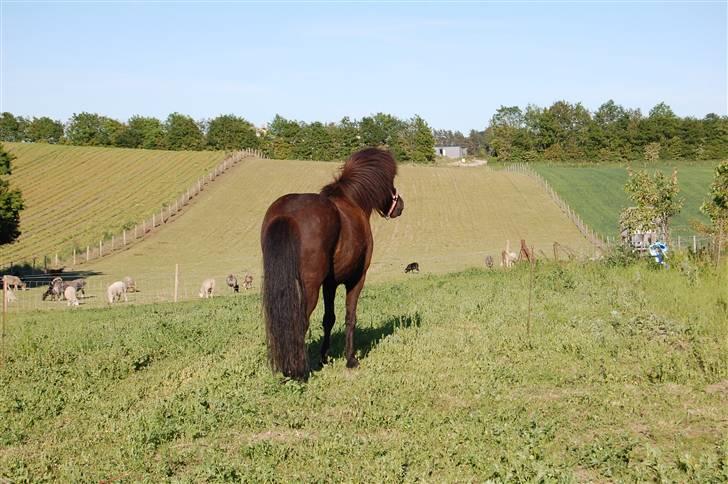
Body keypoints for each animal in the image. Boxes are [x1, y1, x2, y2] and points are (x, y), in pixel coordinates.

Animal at [262, 147, 404, 378]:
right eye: (391, 182)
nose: (400, 205)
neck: (353, 202)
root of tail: (288, 215)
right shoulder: (356, 279)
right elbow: (350, 316)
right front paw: (350, 359)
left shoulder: (329, 283)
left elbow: (328, 319)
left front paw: (324, 357)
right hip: (310, 287)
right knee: (300, 322)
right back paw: (299, 371)